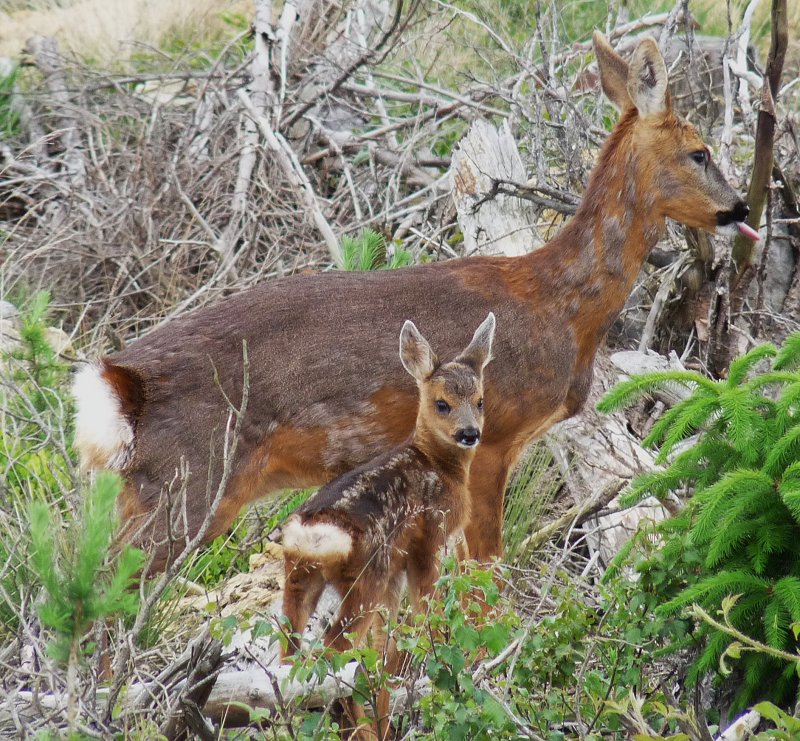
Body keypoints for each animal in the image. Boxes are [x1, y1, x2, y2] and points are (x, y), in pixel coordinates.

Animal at [72, 32, 759, 572]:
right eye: (699, 151)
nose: (740, 207)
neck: (560, 304)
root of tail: (119, 384)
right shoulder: (491, 434)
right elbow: (486, 567)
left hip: (158, 491)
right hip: (188, 482)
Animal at [280, 313, 493, 738]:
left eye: (480, 401)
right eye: (442, 403)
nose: (469, 433)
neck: (436, 466)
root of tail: (313, 533)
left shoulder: (397, 568)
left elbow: (385, 646)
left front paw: (387, 708)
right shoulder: (429, 540)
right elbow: (426, 615)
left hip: (300, 580)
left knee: (286, 658)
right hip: (364, 578)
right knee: (332, 654)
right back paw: (357, 727)